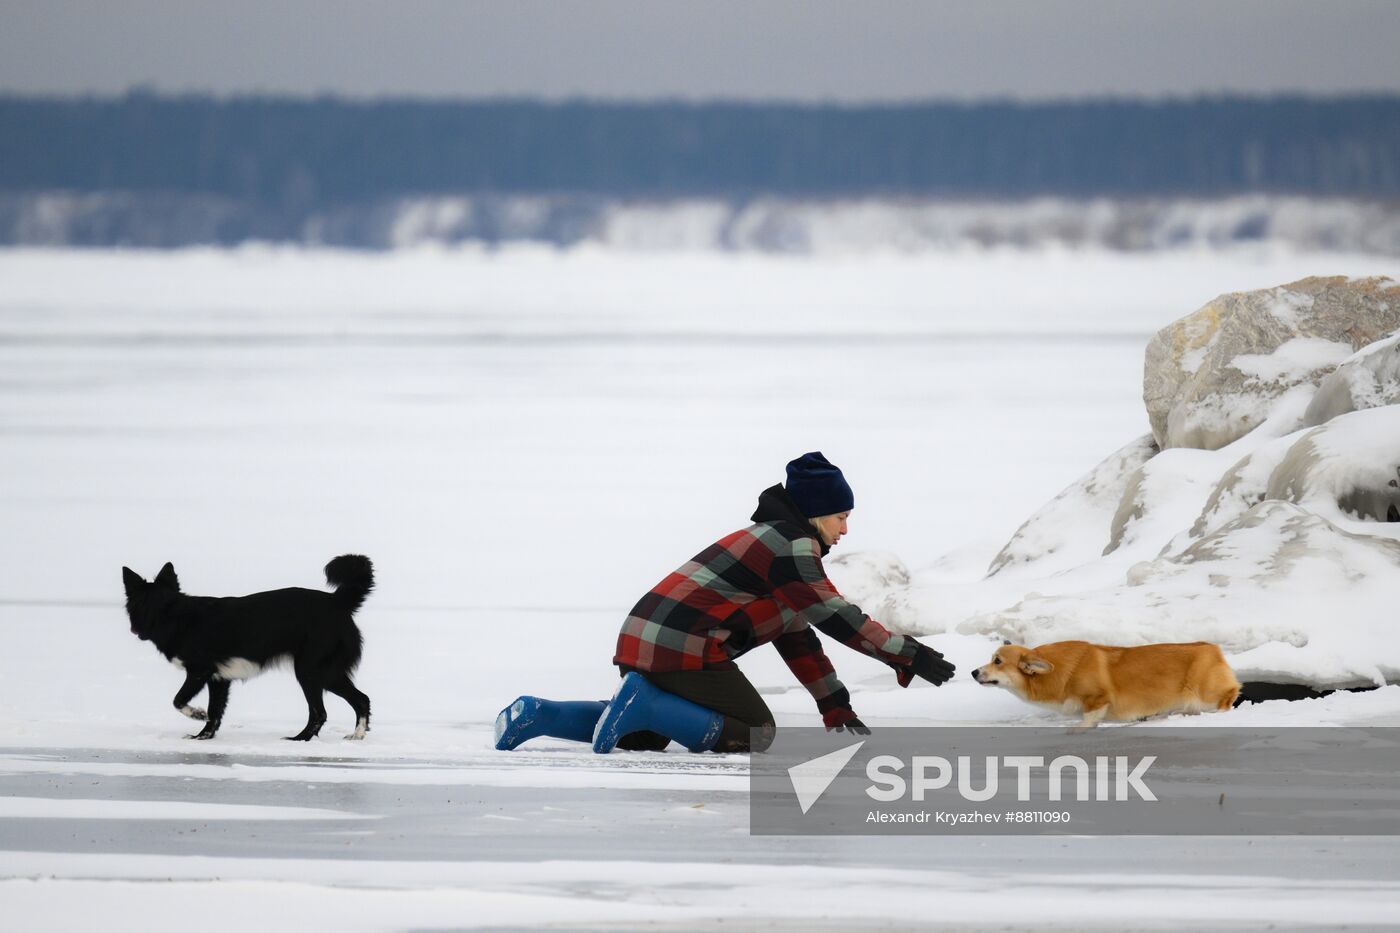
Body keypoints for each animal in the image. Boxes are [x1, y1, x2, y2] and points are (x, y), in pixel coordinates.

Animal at [123, 551, 375, 739]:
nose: (137, 630)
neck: (174, 616)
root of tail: (337, 601)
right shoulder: (219, 678)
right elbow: (215, 712)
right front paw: (203, 737)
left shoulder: (199, 671)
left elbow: (178, 700)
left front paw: (197, 715)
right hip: (325, 672)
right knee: (361, 699)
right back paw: (357, 735)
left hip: (311, 671)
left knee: (322, 712)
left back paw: (300, 739)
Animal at [974, 638, 1237, 728]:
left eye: (997, 661)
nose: (974, 672)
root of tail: (1213, 649)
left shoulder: (1097, 699)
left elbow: (1087, 720)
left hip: (1205, 693)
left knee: (1230, 695)